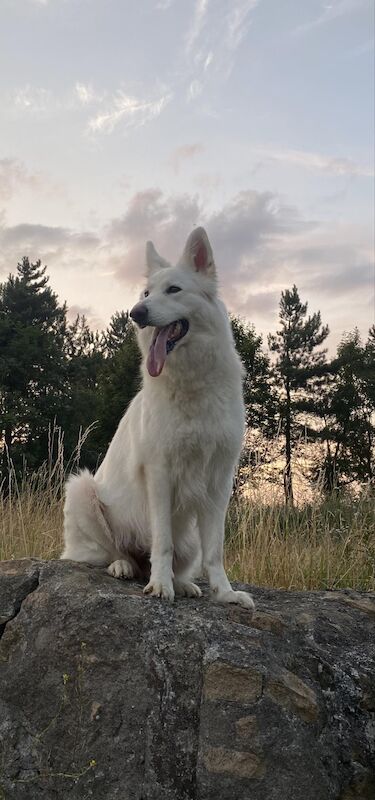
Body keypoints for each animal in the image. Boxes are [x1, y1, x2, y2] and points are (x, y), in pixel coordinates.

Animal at [61, 228, 256, 608]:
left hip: (189, 537)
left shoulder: (219, 482)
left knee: (177, 559)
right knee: (117, 552)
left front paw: (224, 593)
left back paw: (184, 583)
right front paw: (160, 586)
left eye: (174, 290)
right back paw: (125, 566)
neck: (192, 382)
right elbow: (162, 543)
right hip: (83, 490)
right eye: (146, 293)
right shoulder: (160, 474)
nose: (136, 313)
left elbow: (215, 551)